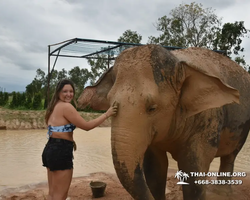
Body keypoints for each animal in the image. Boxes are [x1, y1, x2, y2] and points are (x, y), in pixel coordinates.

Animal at [77, 44, 250, 199]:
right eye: (110, 103)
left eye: (152, 108)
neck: (179, 62)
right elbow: (154, 168)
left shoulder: (208, 119)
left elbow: (193, 166)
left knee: (230, 156)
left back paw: (223, 193)